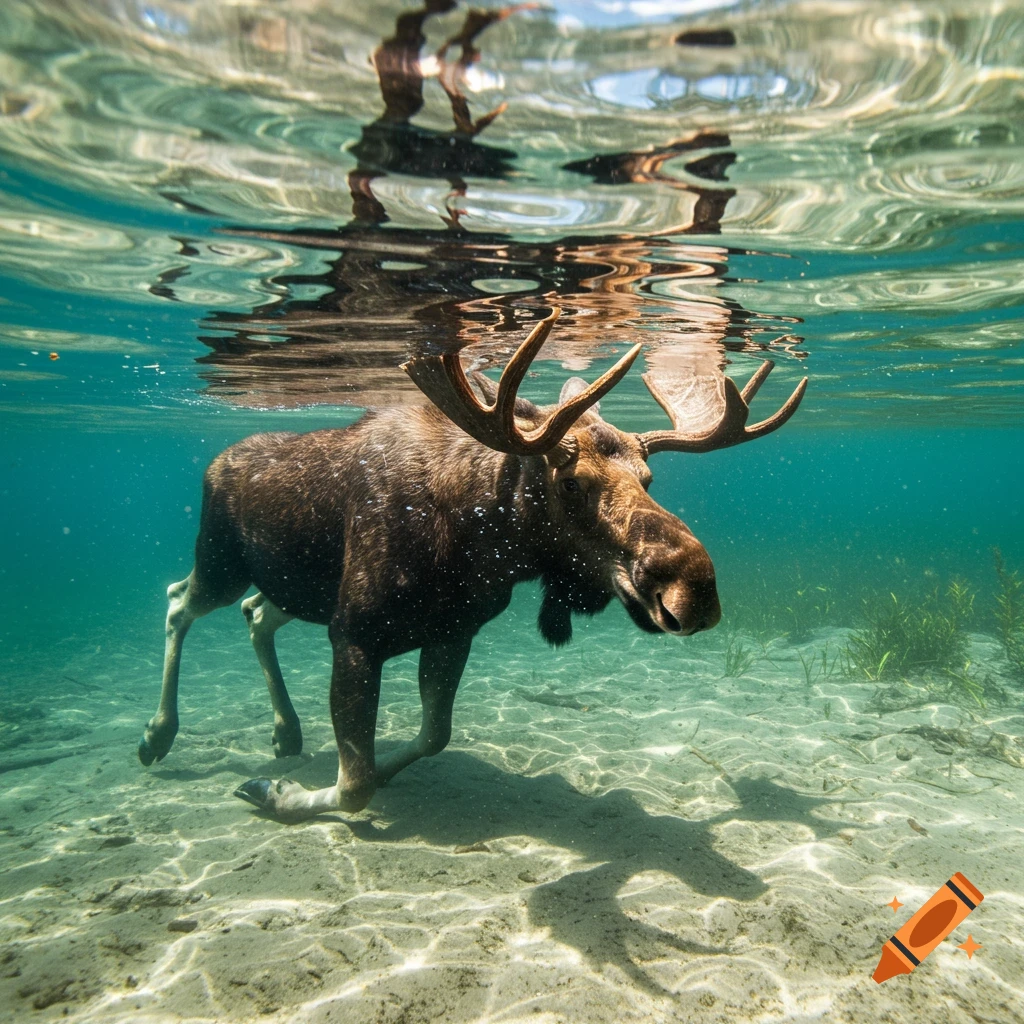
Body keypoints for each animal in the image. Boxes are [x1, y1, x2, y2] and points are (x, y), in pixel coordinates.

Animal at [138, 308, 806, 820]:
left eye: (648, 478)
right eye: (570, 483)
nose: (695, 587)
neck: (476, 544)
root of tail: (216, 464)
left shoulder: (452, 631)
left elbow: (432, 736)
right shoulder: (354, 633)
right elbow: (355, 784)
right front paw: (274, 793)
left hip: (288, 587)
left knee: (255, 616)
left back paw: (285, 730)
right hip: (221, 563)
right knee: (177, 601)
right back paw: (158, 733)